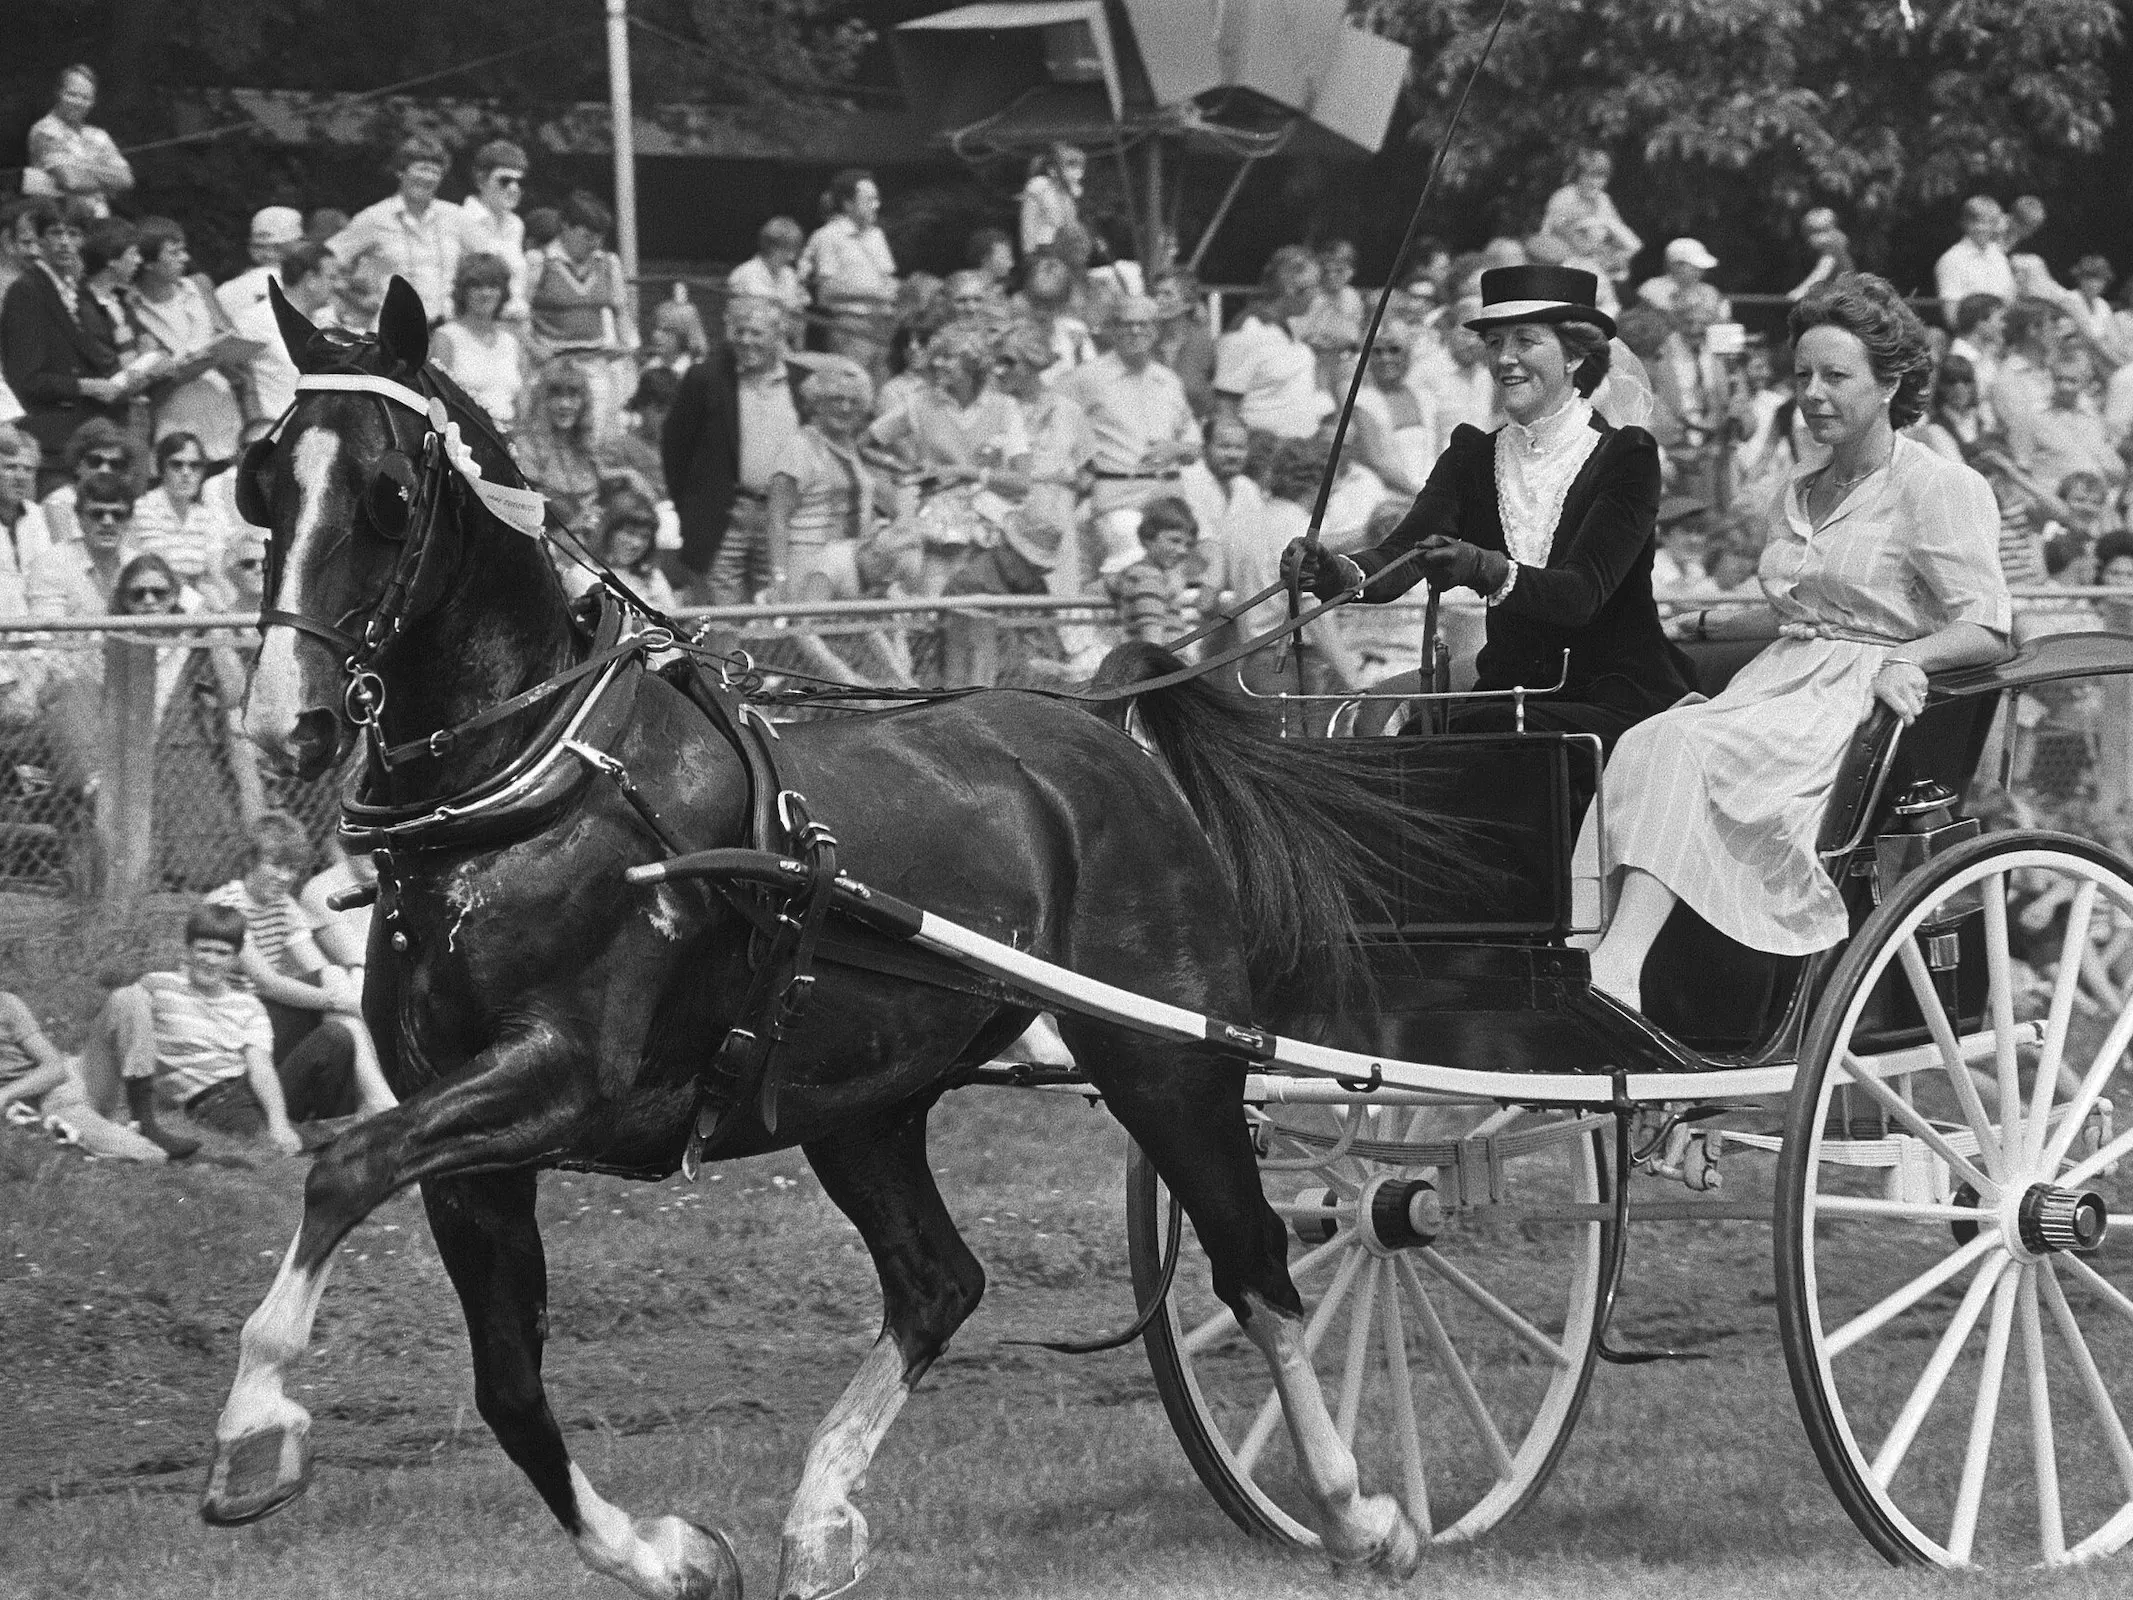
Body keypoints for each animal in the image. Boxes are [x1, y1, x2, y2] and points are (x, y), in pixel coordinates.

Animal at [203, 279, 1467, 1600]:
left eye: (390, 494)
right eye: (261, 478)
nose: (283, 721)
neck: (529, 785)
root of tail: (1103, 725)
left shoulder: (559, 1075)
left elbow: (343, 1168)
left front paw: (253, 1431)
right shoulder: (472, 1138)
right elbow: (506, 1385)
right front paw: (670, 1553)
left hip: (1165, 1056)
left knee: (1256, 1260)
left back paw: (1356, 1511)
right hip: (863, 1102)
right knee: (938, 1281)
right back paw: (817, 1513)